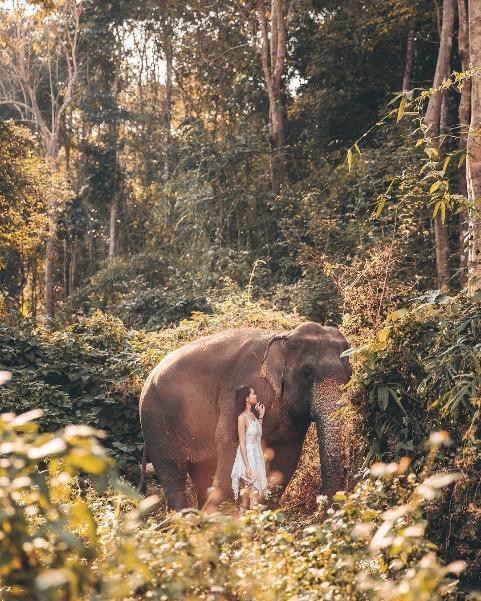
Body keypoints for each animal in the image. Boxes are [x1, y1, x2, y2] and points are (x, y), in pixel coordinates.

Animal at [137, 322, 350, 508]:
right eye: (307, 373)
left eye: (348, 376)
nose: (323, 498)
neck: (284, 337)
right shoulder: (242, 387)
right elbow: (230, 442)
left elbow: (287, 455)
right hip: (156, 420)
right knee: (173, 472)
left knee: (201, 471)